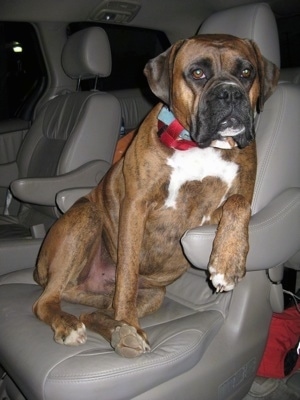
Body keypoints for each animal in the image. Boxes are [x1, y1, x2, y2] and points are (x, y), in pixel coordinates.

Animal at [33, 35, 278, 356]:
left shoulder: (219, 209)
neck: (199, 146)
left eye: (247, 72)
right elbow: (127, 274)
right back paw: (79, 326)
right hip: (86, 219)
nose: (230, 93)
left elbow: (238, 204)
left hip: (152, 294)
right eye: (197, 73)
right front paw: (130, 322)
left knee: (92, 311)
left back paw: (119, 333)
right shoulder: (136, 206)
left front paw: (228, 264)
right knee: (45, 302)